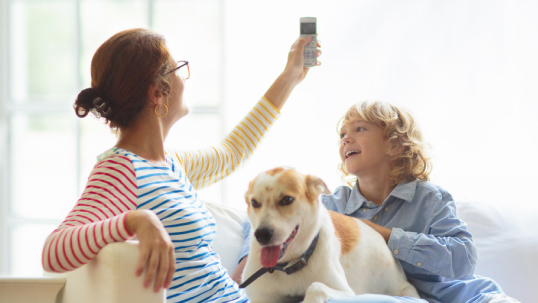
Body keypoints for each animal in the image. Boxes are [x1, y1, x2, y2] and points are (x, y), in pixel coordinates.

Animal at [240, 169, 418, 303]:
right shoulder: (261, 298)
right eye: (254, 202)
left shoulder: (345, 291)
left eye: (287, 199)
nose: (261, 234)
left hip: (407, 291)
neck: (289, 267)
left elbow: (315, 287)